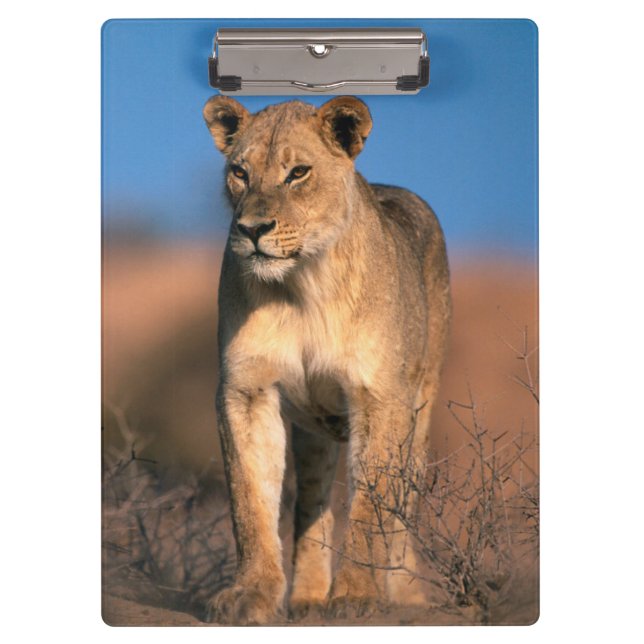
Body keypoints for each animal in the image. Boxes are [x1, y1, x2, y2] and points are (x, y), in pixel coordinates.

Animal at [202, 95, 451, 624]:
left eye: (298, 172)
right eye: (239, 172)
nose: (252, 230)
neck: (302, 286)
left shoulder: (381, 397)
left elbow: (372, 506)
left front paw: (358, 595)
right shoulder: (246, 390)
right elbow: (249, 500)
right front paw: (252, 593)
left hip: (420, 408)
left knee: (404, 503)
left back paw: (402, 594)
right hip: (314, 431)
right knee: (312, 502)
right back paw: (309, 597)